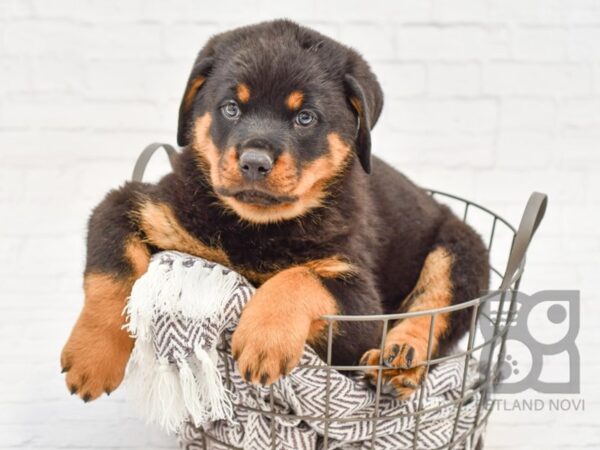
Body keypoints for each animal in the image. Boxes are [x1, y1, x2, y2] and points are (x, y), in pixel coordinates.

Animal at [61, 19, 490, 402]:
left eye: (305, 117)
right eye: (231, 108)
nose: (254, 162)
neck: (256, 227)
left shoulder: (361, 302)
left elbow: (299, 278)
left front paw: (263, 338)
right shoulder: (136, 205)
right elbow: (112, 272)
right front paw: (92, 358)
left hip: (460, 251)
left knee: (434, 312)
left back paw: (398, 361)